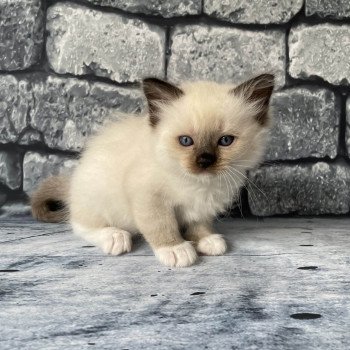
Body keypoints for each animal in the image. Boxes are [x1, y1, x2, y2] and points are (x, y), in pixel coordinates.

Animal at [31, 73, 274, 266]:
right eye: (186, 141)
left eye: (225, 141)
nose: (205, 160)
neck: (198, 184)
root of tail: (72, 184)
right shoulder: (148, 197)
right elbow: (162, 225)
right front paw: (176, 250)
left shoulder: (201, 208)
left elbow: (199, 225)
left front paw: (207, 240)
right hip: (99, 198)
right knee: (80, 225)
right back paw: (115, 237)